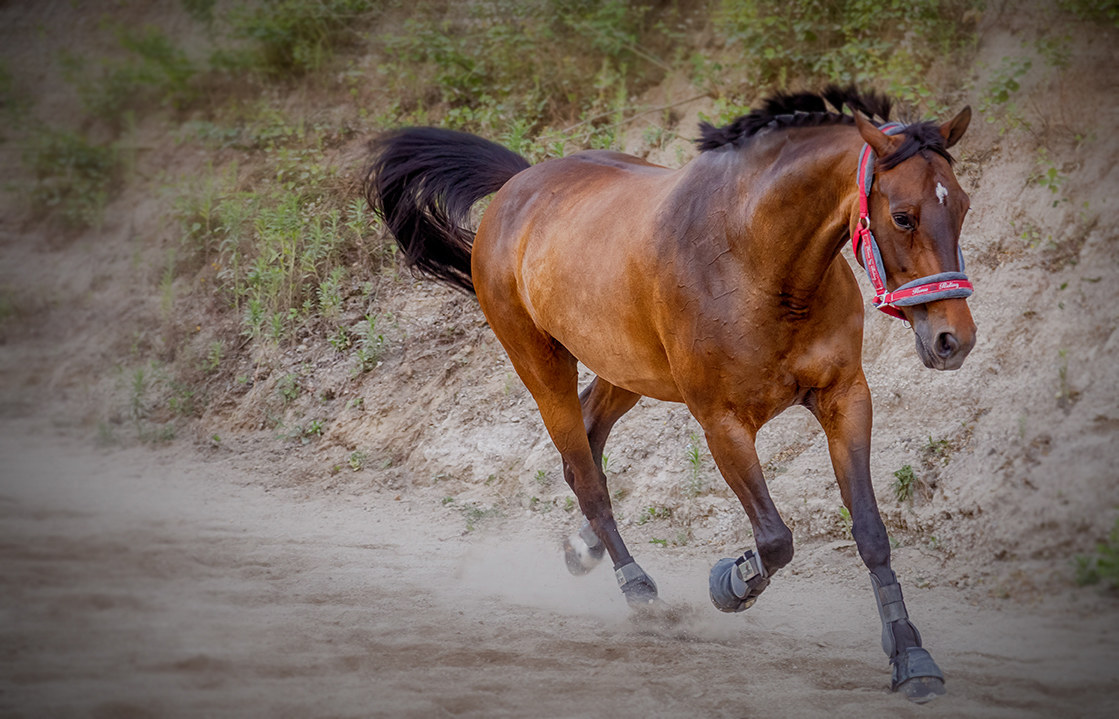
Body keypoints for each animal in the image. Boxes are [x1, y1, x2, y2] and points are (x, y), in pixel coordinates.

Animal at [365, 86, 975, 703]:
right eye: (902, 216)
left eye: (964, 206)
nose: (953, 340)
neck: (759, 261)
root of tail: (520, 185)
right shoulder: (723, 423)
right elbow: (775, 539)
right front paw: (730, 583)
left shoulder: (844, 400)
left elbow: (870, 531)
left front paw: (910, 655)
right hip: (541, 367)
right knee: (585, 473)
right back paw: (639, 591)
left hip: (625, 372)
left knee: (587, 443)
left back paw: (583, 548)